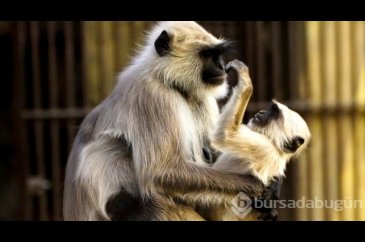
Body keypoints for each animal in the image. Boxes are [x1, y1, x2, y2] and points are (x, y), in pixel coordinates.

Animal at [63, 21, 264, 220]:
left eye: (218, 54)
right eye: (207, 54)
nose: (221, 67)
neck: (167, 80)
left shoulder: (204, 99)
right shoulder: (153, 96)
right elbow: (161, 173)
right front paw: (257, 186)